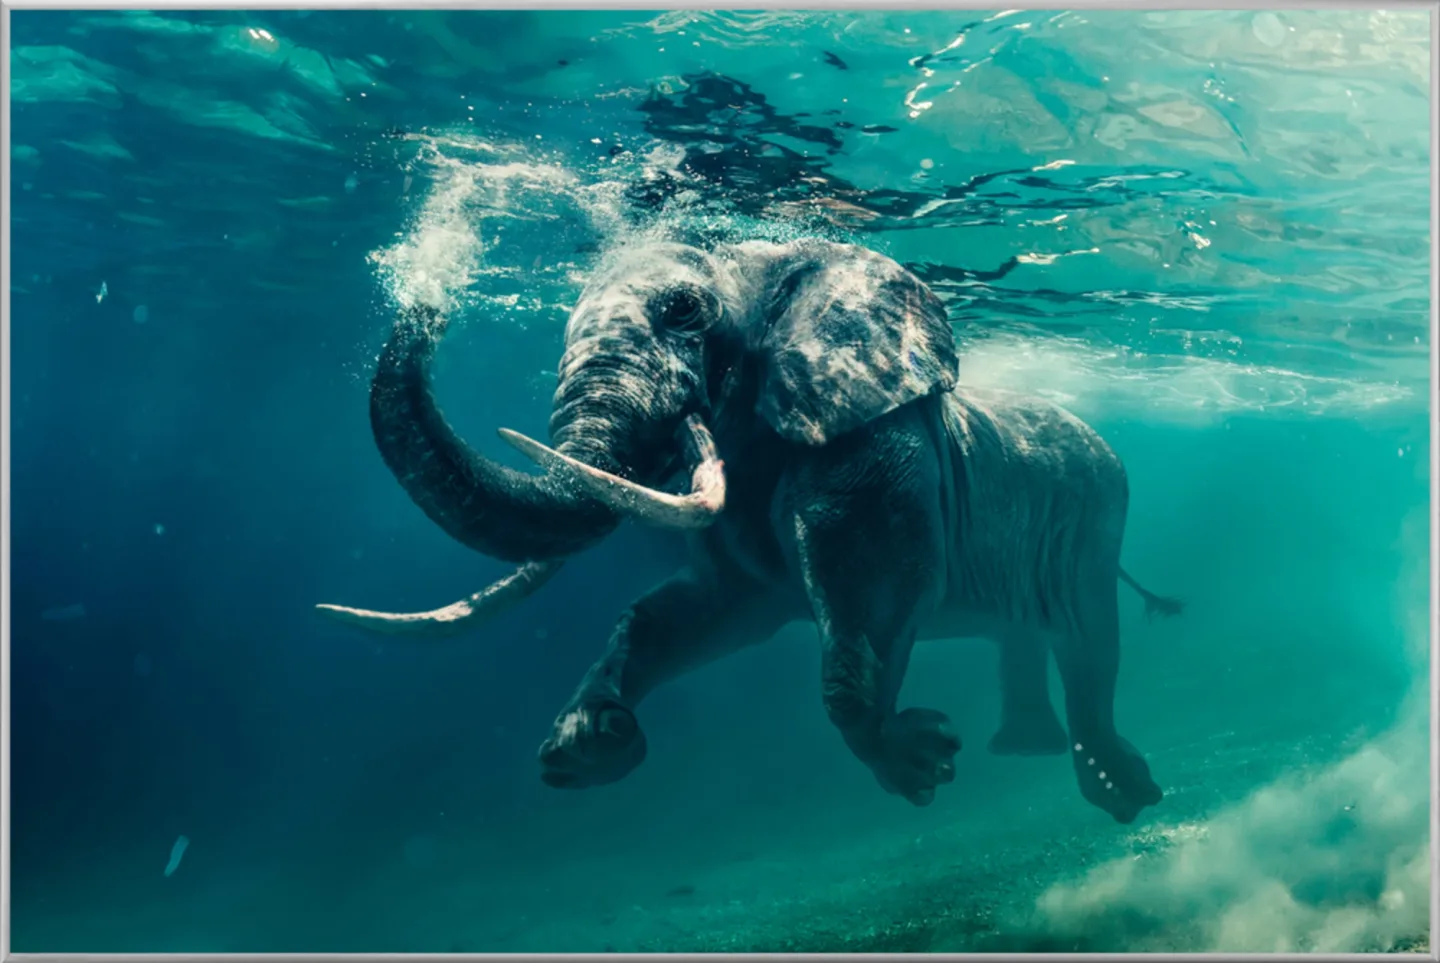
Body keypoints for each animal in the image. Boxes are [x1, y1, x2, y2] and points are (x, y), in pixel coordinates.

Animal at [318, 237, 1184, 824]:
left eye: (682, 311)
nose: (429, 298)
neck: (768, 261)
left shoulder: (872, 443)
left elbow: (876, 589)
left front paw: (922, 762)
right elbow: (690, 611)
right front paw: (586, 748)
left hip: (1098, 516)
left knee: (1089, 643)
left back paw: (1122, 793)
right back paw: (1033, 753)